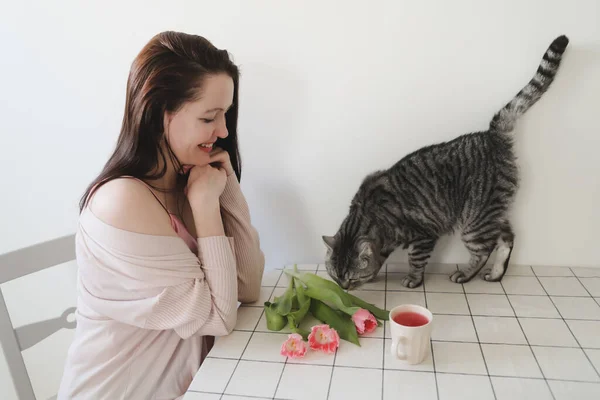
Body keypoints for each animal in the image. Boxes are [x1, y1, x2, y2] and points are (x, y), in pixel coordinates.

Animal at [326, 35, 568, 288]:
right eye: (335, 276)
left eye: (351, 278)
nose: (343, 288)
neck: (371, 216)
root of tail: (492, 135)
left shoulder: (423, 235)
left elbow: (416, 260)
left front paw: (413, 279)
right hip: (491, 212)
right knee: (507, 238)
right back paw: (496, 273)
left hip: (474, 221)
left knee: (484, 250)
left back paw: (466, 274)